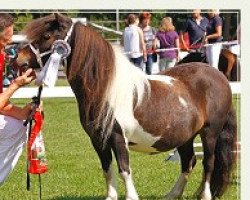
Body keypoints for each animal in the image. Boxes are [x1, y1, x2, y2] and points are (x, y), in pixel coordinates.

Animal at [15, 13, 236, 199]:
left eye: (47, 35)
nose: (19, 60)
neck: (105, 89)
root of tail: (218, 76)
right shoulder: (98, 139)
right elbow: (107, 168)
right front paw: (111, 196)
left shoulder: (117, 136)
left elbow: (124, 169)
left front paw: (131, 196)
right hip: (185, 137)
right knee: (189, 162)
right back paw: (172, 194)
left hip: (209, 133)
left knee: (208, 163)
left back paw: (205, 195)